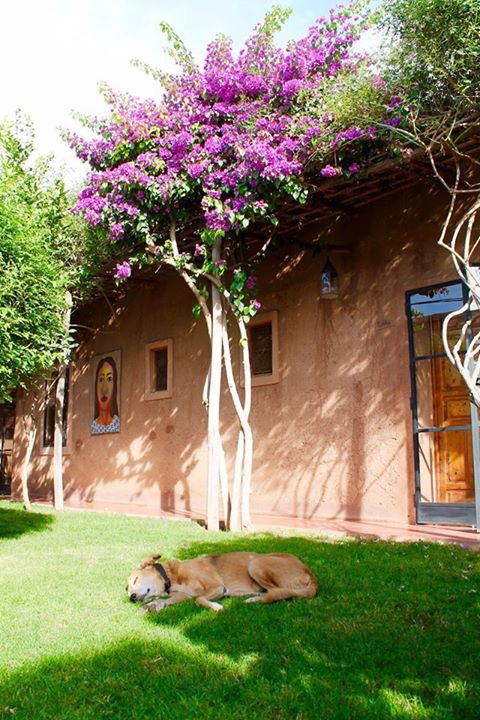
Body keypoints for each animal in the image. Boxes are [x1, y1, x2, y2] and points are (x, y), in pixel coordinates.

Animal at [126, 552, 318, 612]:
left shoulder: (217, 587)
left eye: (135, 579)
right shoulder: (183, 595)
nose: (131, 597)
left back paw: (254, 598)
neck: (171, 577)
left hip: (256, 563)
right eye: (127, 589)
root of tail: (310, 573)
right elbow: (164, 600)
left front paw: (215, 606)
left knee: (276, 593)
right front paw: (153, 606)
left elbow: (199, 599)